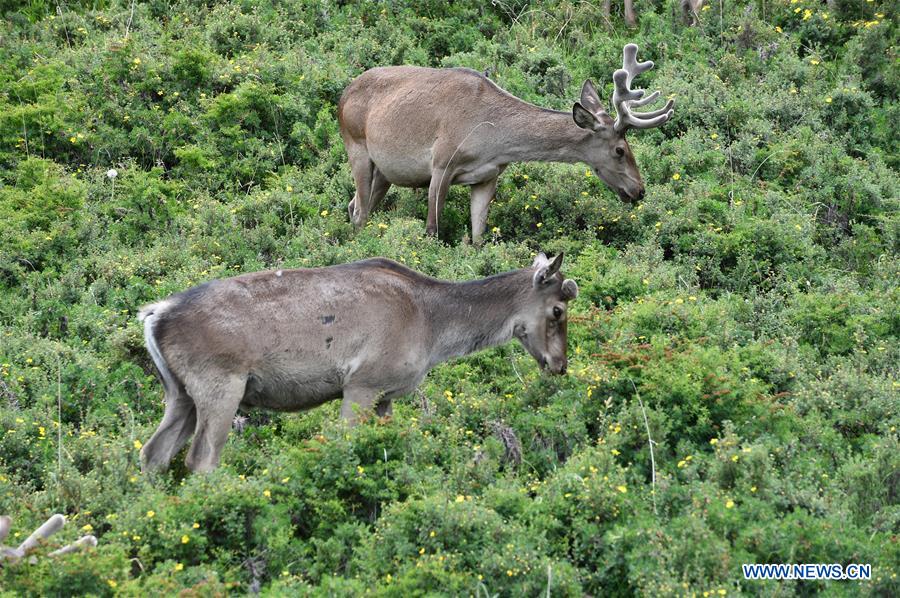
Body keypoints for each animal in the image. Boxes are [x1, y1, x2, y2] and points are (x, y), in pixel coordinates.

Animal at [139, 255, 576, 476]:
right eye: (558, 309)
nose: (560, 364)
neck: (433, 329)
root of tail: (154, 316)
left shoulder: (386, 396)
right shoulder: (362, 384)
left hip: (178, 393)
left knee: (153, 451)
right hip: (220, 384)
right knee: (201, 458)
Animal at [342, 42, 672, 245]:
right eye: (620, 150)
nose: (639, 190)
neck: (490, 139)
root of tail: (343, 95)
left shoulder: (488, 176)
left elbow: (478, 237)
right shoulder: (441, 164)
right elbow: (432, 230)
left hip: (385, 171)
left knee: (356, 205)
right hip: (356, 146)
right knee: (359, 212)